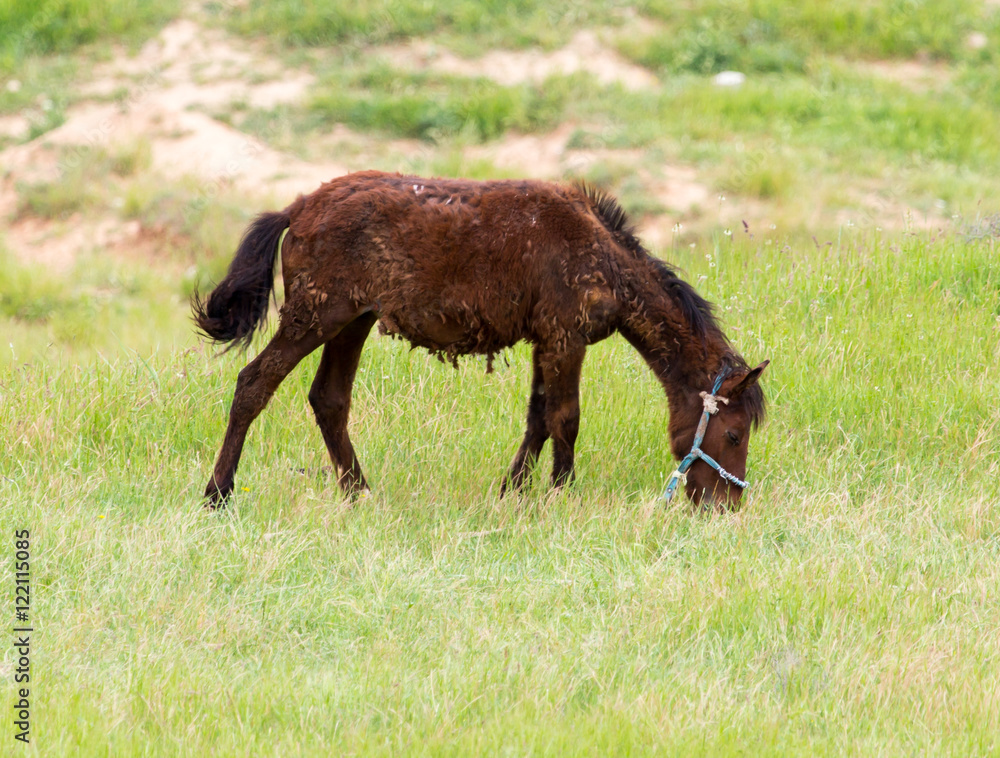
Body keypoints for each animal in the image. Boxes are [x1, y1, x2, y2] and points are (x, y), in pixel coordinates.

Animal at [193, 171, 768, 509]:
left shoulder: (544, 340)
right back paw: (218, 494)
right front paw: (562, 494)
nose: (724, 507)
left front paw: (513, 491)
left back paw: (359, 493)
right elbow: (566, 418)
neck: (604, 258)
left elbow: (538, 417)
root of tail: (298, 208)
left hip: (351, 321)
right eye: (733, 435)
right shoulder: (566, 337)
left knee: (329, 400)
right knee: (254, 384)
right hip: (315, 315)